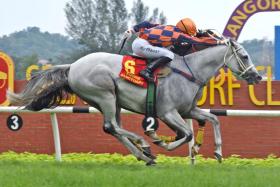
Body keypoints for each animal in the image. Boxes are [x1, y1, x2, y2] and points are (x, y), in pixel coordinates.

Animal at [8, 39, 262, 165]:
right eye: (245, 56)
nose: (257, 77)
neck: (191, 71)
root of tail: (73, 66)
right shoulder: (168, 112)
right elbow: (186, 134)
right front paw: (162, 142)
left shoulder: (187, 110)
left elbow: (213, 120)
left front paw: (217, 152)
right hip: (105, 95)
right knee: (111, 126)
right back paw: (146, 147)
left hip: (112, 102)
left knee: (112, 128)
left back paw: (144, 155)